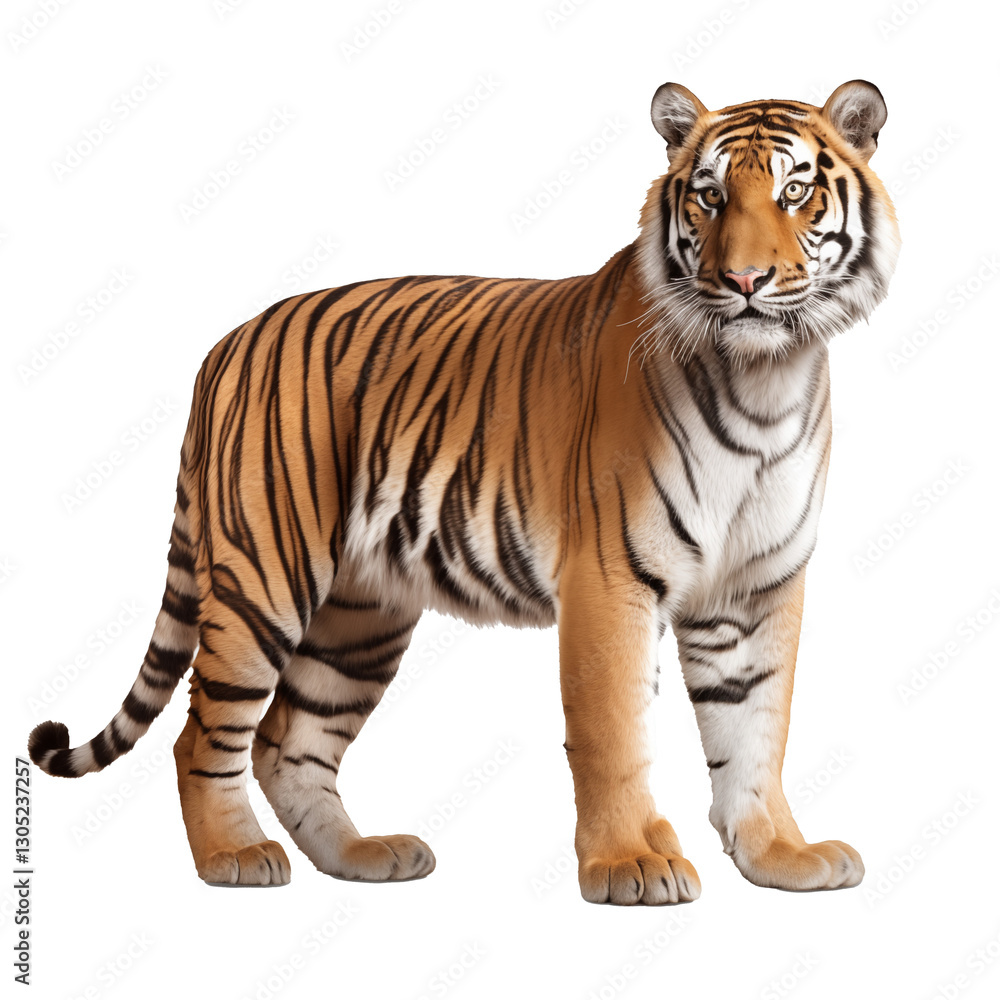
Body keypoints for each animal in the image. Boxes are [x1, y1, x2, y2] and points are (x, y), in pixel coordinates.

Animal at [28, 80, 899, 905]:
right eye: (711, 196)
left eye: (795, 192)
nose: (744, 279)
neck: (764, 383)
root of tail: (224, 345)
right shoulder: (610, 579)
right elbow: (614, 733)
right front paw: (628, 862)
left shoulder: (757, 588)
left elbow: (756, 730)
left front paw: (779, 854)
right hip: (263, 580)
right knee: (205, 732)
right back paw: (234, 855)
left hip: (360, 616)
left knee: (289, 742)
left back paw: (363, 856)